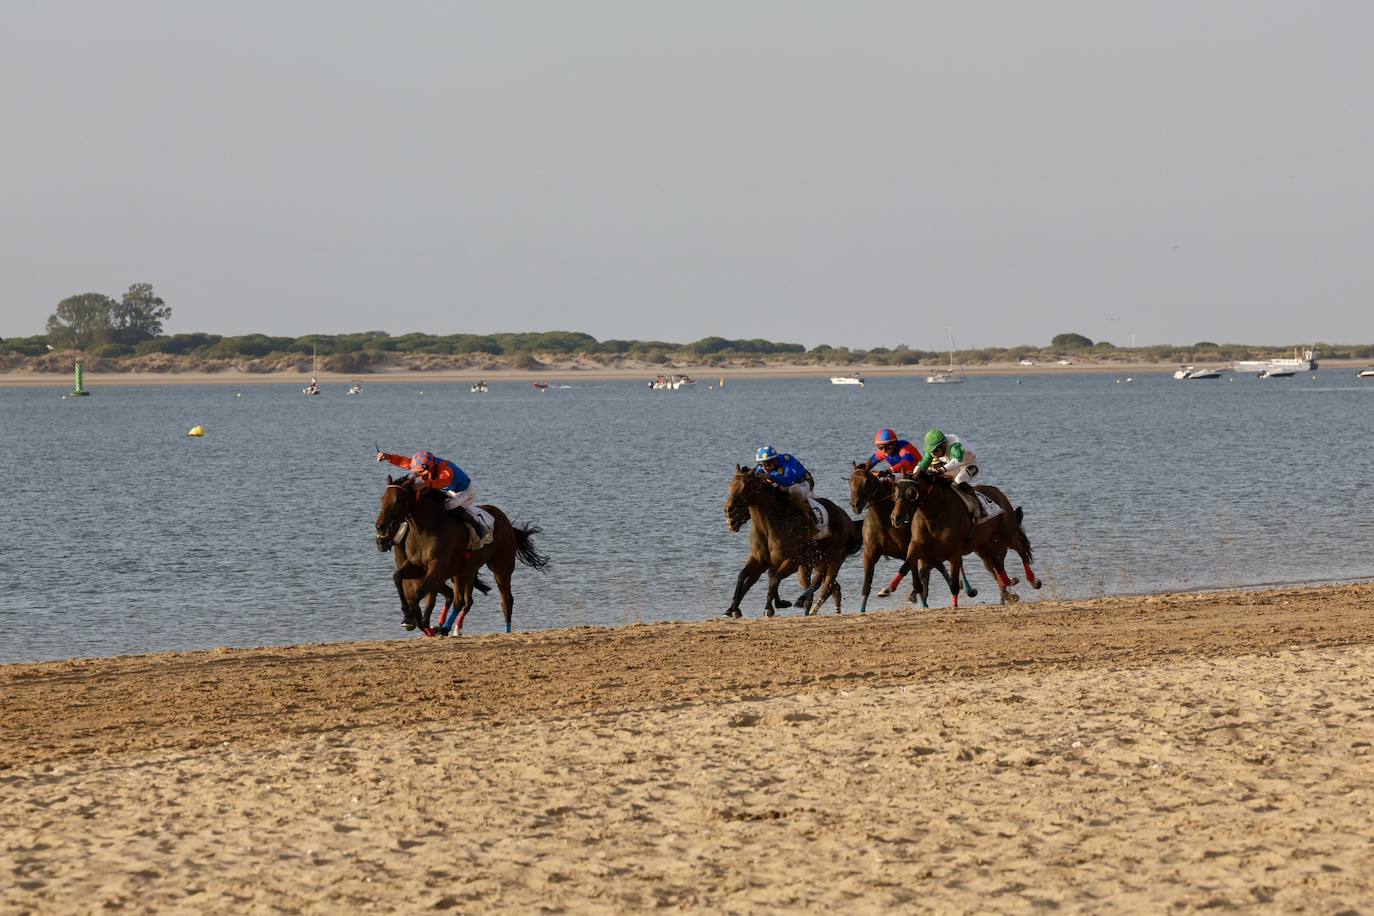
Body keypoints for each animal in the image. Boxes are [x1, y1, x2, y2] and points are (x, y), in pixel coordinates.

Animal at [375, 476, 549, 635]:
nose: (380, 527)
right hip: (465, 571)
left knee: (505, 600)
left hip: (501, 567)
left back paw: (505, 631)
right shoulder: (418, 567)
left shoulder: (437, 570)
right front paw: (408, 613)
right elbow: (398, 577)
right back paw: (446, 628)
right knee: (462, 601)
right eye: (383, 498)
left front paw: (412, 617)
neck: (427, 529)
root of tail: (506, 522)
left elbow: (422, 593)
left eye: (397, 500)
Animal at [723, 465, 862, 617]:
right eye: (730, 485)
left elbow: (774, 580)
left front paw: (769, 608)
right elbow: (742, 577)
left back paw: (803, 600)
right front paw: (733, 608)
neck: (769, 525)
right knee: (830, 586)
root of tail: (849, 521)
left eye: (745, 487)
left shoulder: (791, 561)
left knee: (820, 583)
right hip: (811, 564)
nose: (728, 511)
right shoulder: (760, 560)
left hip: (832, 558)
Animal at [848, 464, 973, 612]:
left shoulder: (909, 551)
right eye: (850, 481)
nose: (855, 505)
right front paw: (862, 611)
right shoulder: (870, 554)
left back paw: (966, 588)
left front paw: (923, 604)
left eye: (866, 482)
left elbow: (916, 582)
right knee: (938, 565)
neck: (883, 520)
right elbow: (866, 587)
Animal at [890, 471, 1040, 608]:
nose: (895, 517)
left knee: (1021, 551)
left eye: (911, 493)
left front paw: (955, 606)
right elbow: (906, 566)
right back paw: (1008, 582)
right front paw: (888, 588)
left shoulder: (954, 553)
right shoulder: (916, 547)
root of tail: (997, 491)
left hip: (1007, 533)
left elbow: (954, 584)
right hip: (983, 544)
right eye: (895, 491)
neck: (934, 515)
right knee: (996, 563)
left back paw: (1033, 581)